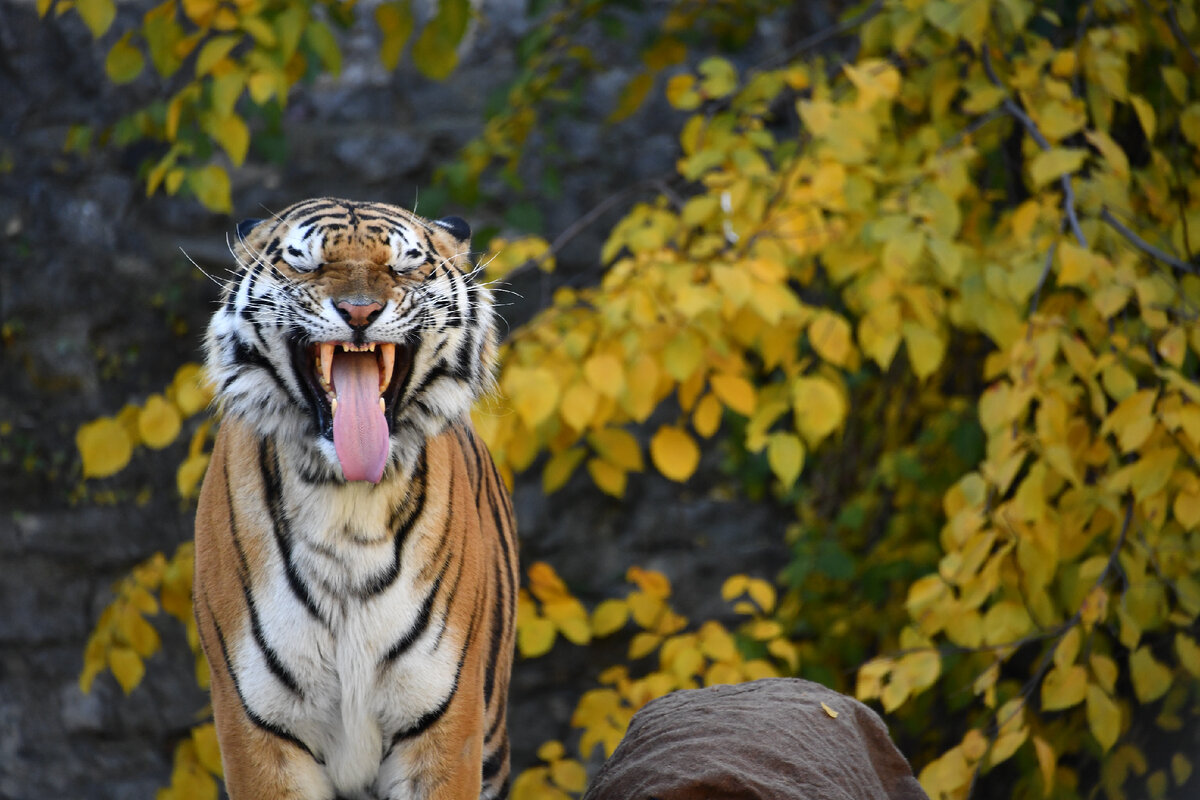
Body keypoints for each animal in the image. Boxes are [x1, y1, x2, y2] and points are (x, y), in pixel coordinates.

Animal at [192, 195, 516, 800]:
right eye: (306, 263)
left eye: (405, 265)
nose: (360, 312)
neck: (347, 500)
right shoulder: (259, 731)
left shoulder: (445, 726)